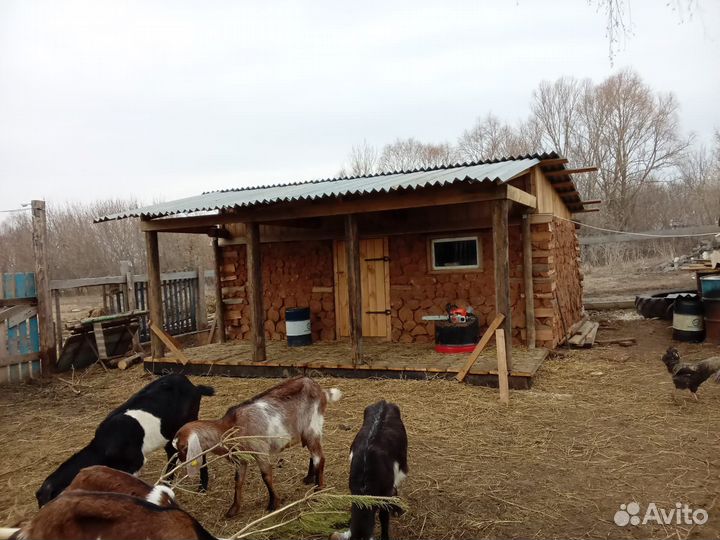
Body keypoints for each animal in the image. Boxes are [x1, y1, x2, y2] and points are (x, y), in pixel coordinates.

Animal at [36, 374, 215, 507]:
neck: (102, 447)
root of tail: (194, 386)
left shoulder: (135, 462)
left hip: (189, 420)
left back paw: (202, 488)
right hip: (168, 433)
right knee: (172, 453)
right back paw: (167, 484)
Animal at [173, 376, 342, 517]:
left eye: (183, 448)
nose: (178, 464)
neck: (230, 427)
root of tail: (320, 389)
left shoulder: (260, 451)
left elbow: (266, 476)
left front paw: (273, 503)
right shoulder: (240, 459)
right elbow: (238, 482)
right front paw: (233, 510)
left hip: (312, 427)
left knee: (319, 457)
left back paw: (318, 489)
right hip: (306, 432)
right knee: (313, 454)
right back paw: (309, 478)